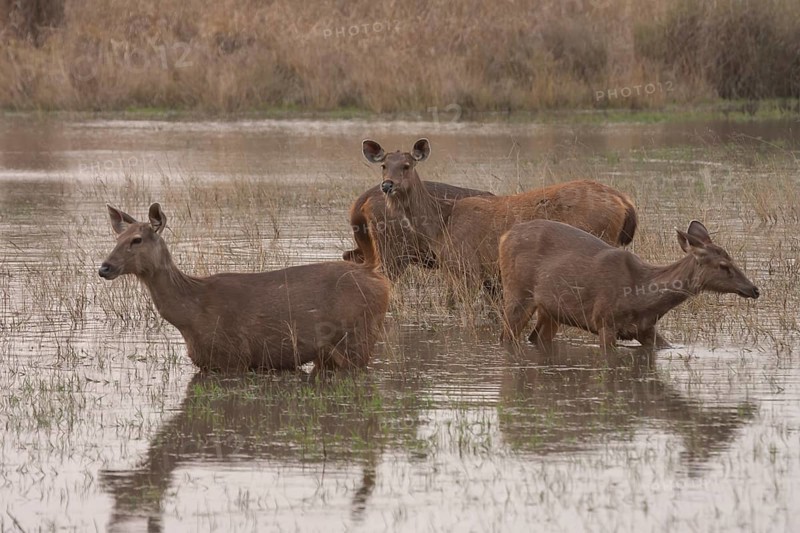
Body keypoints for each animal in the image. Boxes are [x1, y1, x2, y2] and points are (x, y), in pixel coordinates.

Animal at [99, 203, 390, 372]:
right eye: (117, 237)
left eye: (136, 239)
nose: (104, 267)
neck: (191, 314)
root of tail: (373, 272)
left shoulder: (234, 357)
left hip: (358, 337)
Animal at [362, 138, 638, 298]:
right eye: (384, 165)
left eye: (407, 166)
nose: (387, 185)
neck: (442, 225)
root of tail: (625, 202)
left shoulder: (467, 266)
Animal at [499, 219, 760, 350]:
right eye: (724, 265)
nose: (754, 289)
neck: (640, 296)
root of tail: (505, 236)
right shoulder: (604, 320)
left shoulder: (645, 329)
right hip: (517, 293)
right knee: (506, 336)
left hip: (551, 311)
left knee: (536, 337)